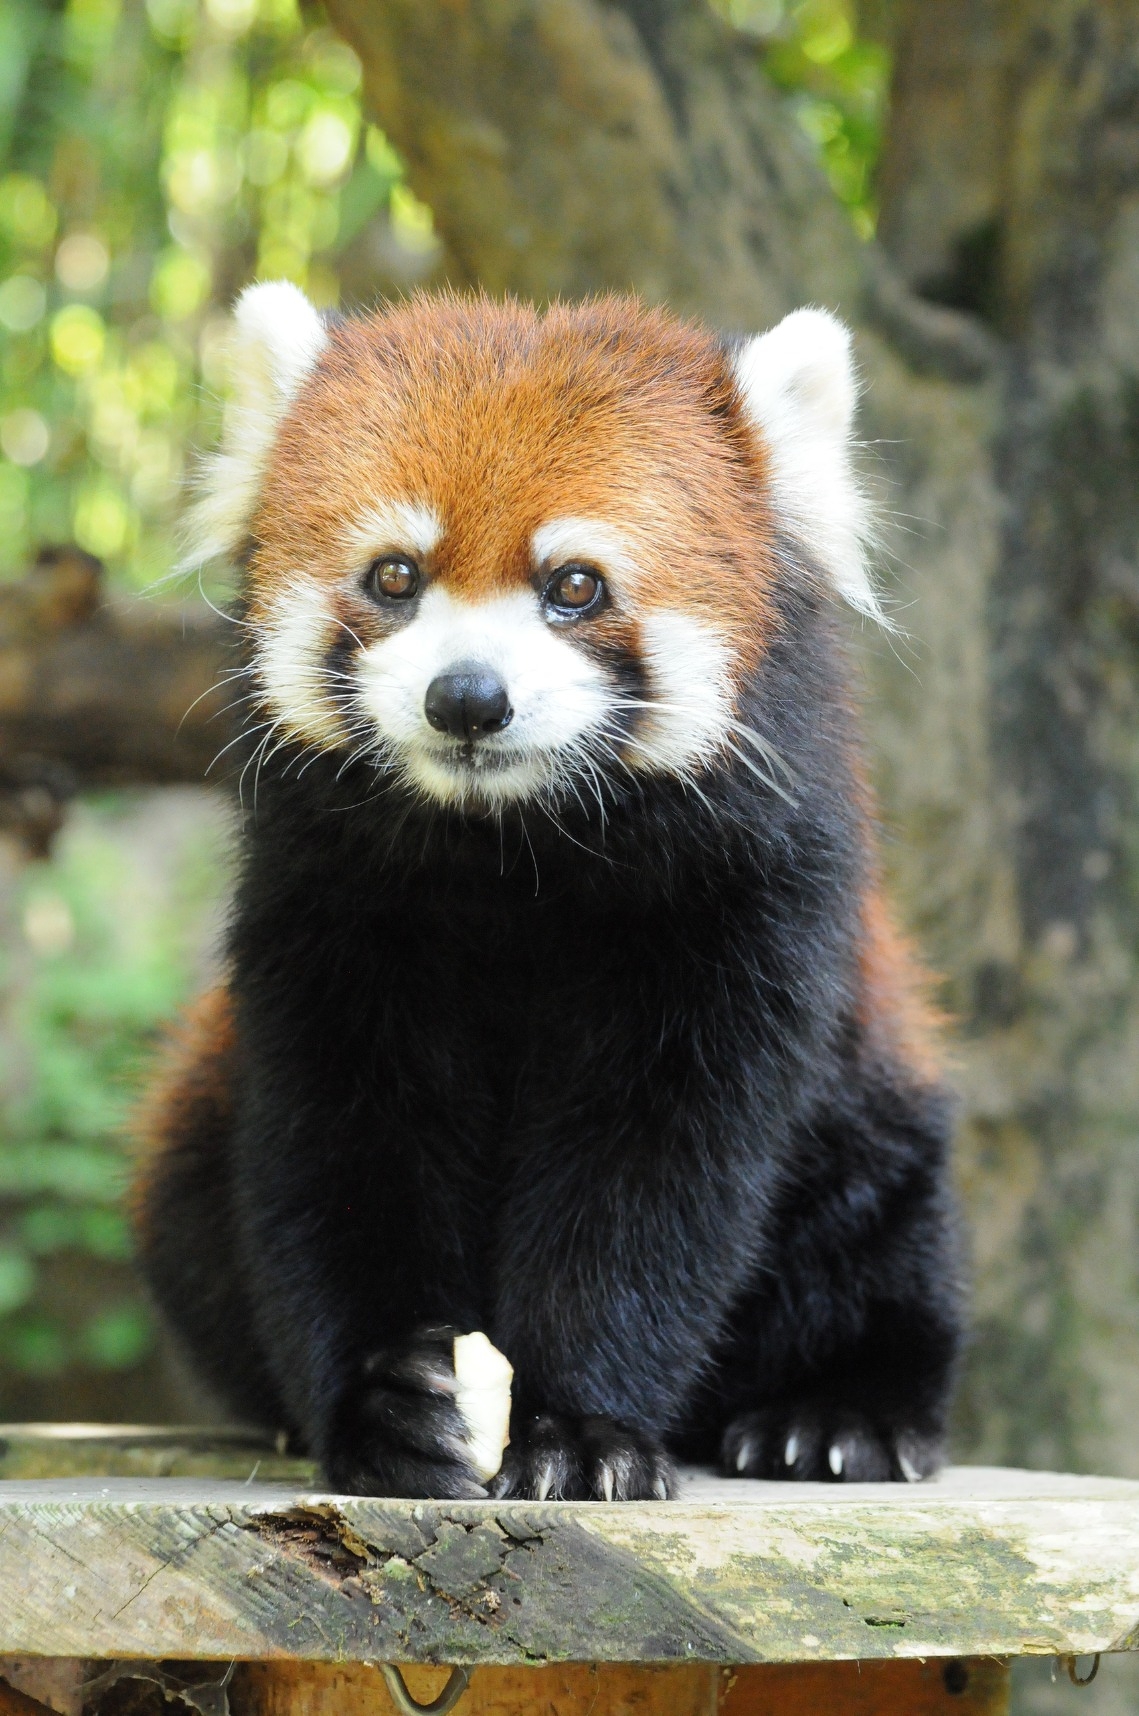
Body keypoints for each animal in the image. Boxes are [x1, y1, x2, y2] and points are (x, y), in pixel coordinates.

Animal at [131, 284, 960, 1503]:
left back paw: (834, 1414)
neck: (513, 853)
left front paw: (579, 1430)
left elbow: (654, 1173)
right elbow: (342, 1141)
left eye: (573, 585)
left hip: (874, 1096)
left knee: (884, 1228)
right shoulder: (328, 902)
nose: (467, 698)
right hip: (194, 1112)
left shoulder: (744, 910)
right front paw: (388, 1404)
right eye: (394, 575)